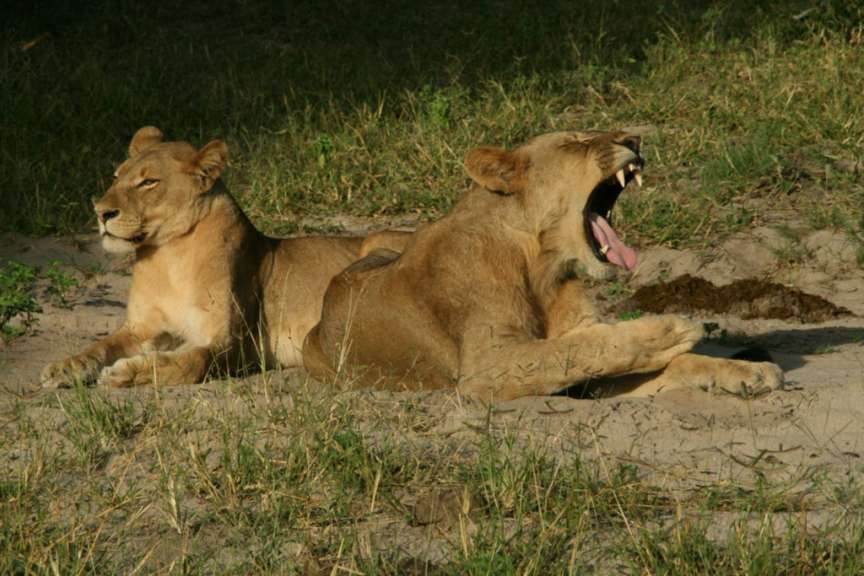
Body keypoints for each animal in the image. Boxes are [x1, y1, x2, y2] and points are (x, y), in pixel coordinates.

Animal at [41, 126, 408, 388]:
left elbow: (190, 361)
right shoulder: (141, 327)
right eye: (117, 177)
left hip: (374, 241)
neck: (169, 255)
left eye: (148, 182)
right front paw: (65, 367)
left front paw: (125, 373)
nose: (101, 212)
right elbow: (100, 346)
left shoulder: (235, 344)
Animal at [304, 128, 784, 401]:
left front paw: (748, 372)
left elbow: (643, 361)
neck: (541, 265)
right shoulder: (485, 366)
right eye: (576, 143)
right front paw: (671, 328)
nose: (634, 141)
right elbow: (576, 349)